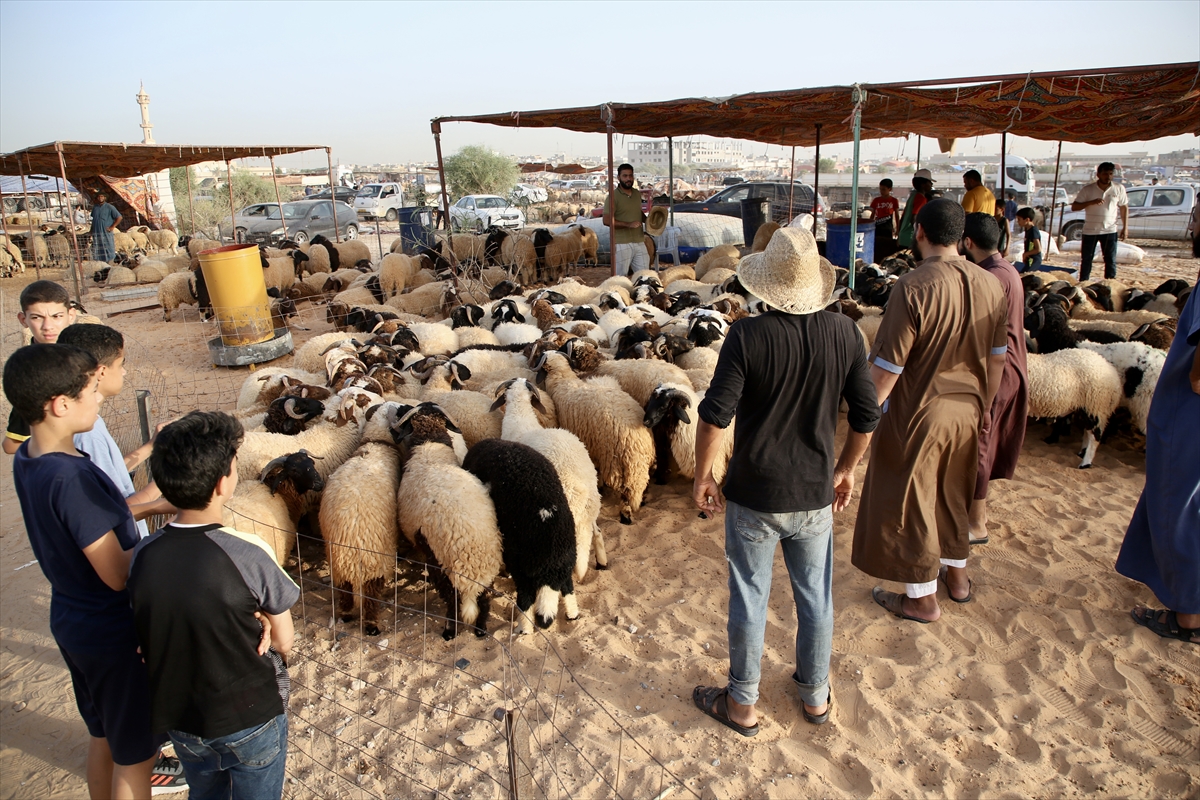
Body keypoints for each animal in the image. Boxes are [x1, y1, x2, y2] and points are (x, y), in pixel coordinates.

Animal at [319, 401, 410, 635]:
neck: (378, 444)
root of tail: (351, 533)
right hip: (375, 559)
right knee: (370, 594)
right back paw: (371, 625)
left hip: (338, 562)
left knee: (344, 590)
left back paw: (345, 615)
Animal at [395, 403, 503, 639]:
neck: (431, 450)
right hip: (489, 570)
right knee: (484, 599)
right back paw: (480, 630)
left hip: (441, 564)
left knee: (452, 600)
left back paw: (449, 631)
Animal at [536, 351, 655, 525]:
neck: (562, 379)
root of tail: (638, 442)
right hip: (640, 463)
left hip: (615, 462)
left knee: (626, 492)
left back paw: (625, 516)